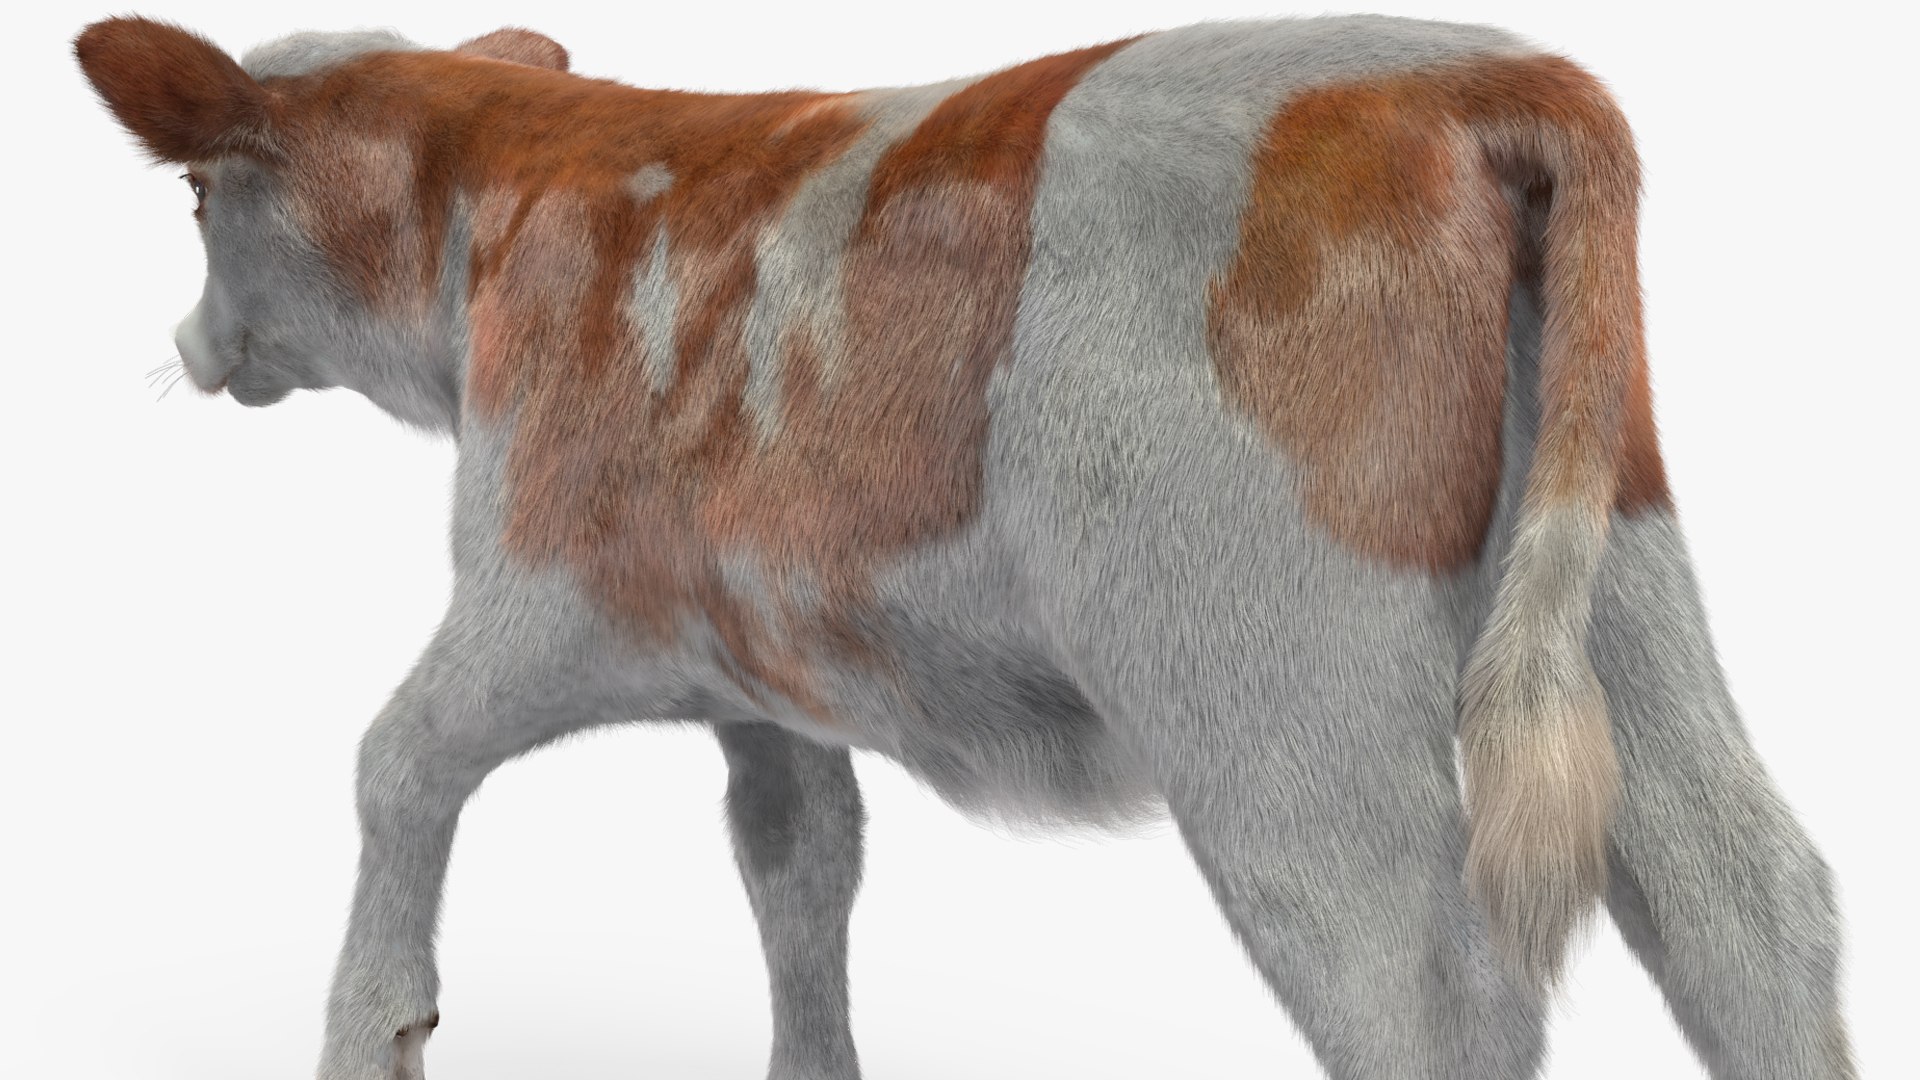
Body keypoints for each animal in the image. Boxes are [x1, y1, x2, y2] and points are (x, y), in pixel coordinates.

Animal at [74, 13, 1854, 1080]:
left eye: (195, 205)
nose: (189, 343)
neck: (492, 216)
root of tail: (1457, 73)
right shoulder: (764, 671)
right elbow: (800, 865)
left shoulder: (543, 577)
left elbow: (394, 756)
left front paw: (372, 1026)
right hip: (1616, 564)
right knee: (1744, 894)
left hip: (1265, 669)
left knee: (1417, 979)